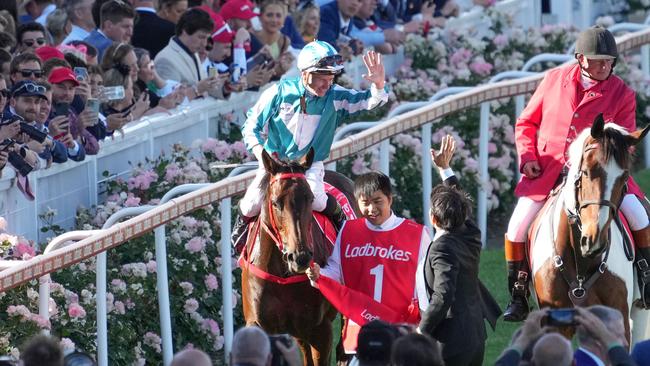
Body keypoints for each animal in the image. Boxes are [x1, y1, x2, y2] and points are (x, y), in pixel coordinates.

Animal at [239, 149, 356, 366]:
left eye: (310, 198)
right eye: (276, 203)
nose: (300, 257)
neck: (282, 275)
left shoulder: (321, 330)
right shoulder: (260, 325)